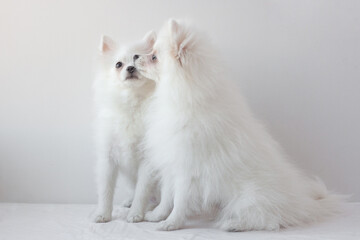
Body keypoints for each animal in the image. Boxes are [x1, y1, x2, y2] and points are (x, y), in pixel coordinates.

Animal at [92, 31, 155, 223]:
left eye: (138, 59)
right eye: (118, 64)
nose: (131, 68)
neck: (131, 101)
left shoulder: (148, 160)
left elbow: (142, 190)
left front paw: (136, 214)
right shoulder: (108, 157)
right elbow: (105, 190)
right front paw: (103, 214)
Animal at [128, 19, 342, 232]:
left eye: (154, 57)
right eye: (150, 52)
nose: (136, 56)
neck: (183, 96)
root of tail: (303, 202)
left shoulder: (187, 169)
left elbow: (179, 200)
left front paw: (171, 223)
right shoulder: (171, 162)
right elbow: (167, 196)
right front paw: (157, 215)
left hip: (250, 196)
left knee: (268, 219)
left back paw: (233, 224)